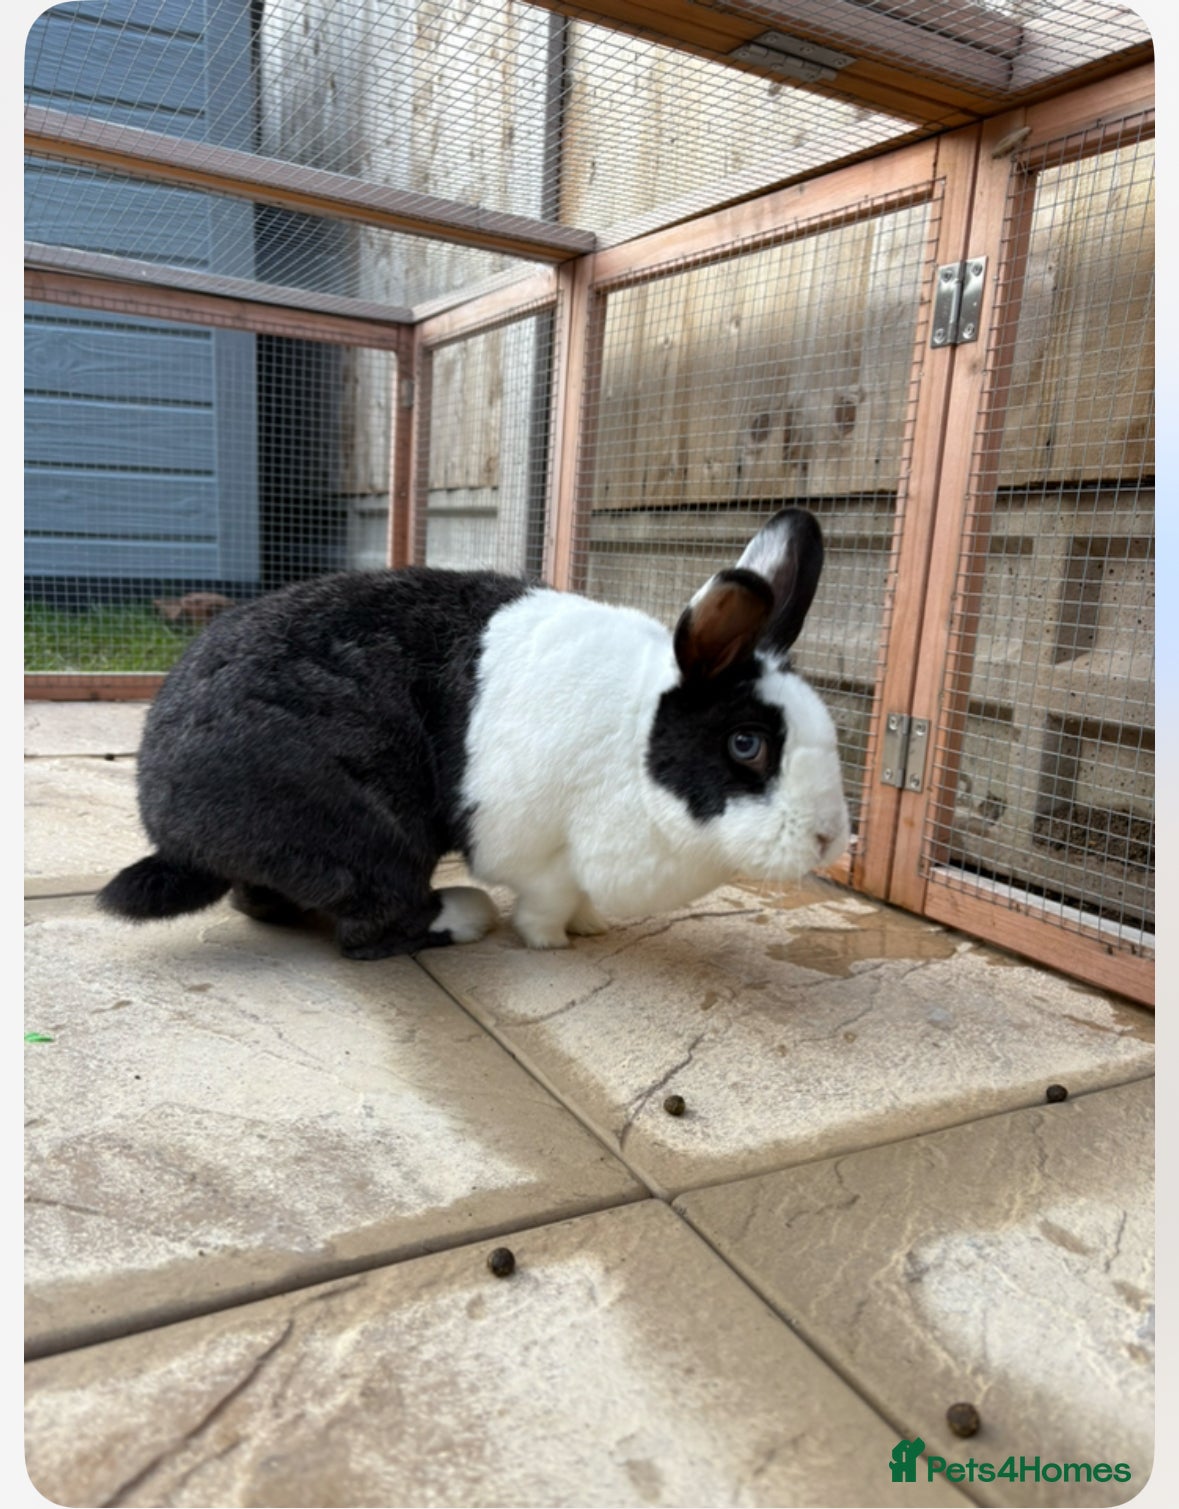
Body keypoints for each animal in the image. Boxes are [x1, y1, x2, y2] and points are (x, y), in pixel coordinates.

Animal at [97, 507, 850, 959]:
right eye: (747, 743)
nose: (829, 839)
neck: (636, 737)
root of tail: (173, 832)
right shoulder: (545, 852)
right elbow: (546, 902)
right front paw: (554, 943)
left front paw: (592, 927)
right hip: (364, 835)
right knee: (369, 928)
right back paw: (463, 916)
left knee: (261, 901)